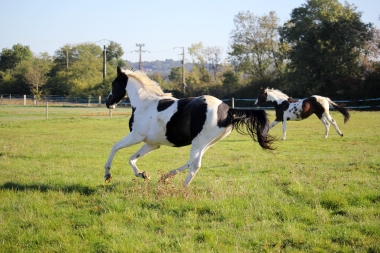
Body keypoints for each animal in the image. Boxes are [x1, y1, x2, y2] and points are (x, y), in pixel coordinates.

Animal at [104, 66, 276, 187]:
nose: (108, 103)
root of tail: (228, 110)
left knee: (195, 165)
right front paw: (143, 174)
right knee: (191, 162)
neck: (144, 103)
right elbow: (132, 158)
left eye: (114, 84)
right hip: (207, 144)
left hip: (199, 142)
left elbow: (115, 147)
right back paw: (166, 176)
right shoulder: (152, 144)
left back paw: (182, 187)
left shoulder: (136, 136)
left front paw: (107, 174)